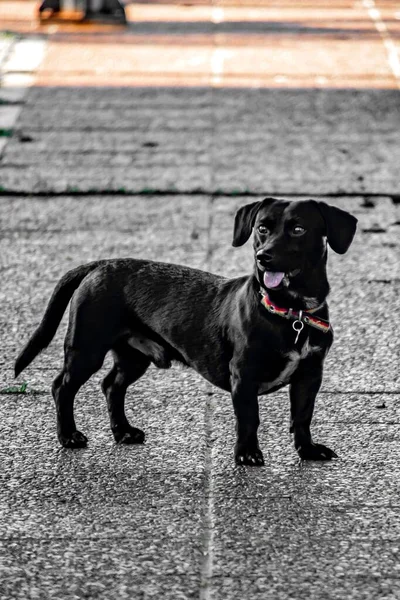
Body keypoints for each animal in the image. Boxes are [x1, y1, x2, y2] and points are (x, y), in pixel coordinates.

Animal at [14, 199, 356, 466]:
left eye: (298, 229)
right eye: (262, 228)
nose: (264, 257)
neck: (291, 312)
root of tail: (99, 264)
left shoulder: (310, 374)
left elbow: (302, 415)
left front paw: (307, 450)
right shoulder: (243, 375)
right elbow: (249, 418)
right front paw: (247, 454)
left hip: (133, 356)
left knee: (112, 385)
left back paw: (123, 431)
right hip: (86, 347)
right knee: (62, 387)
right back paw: (69, 436)